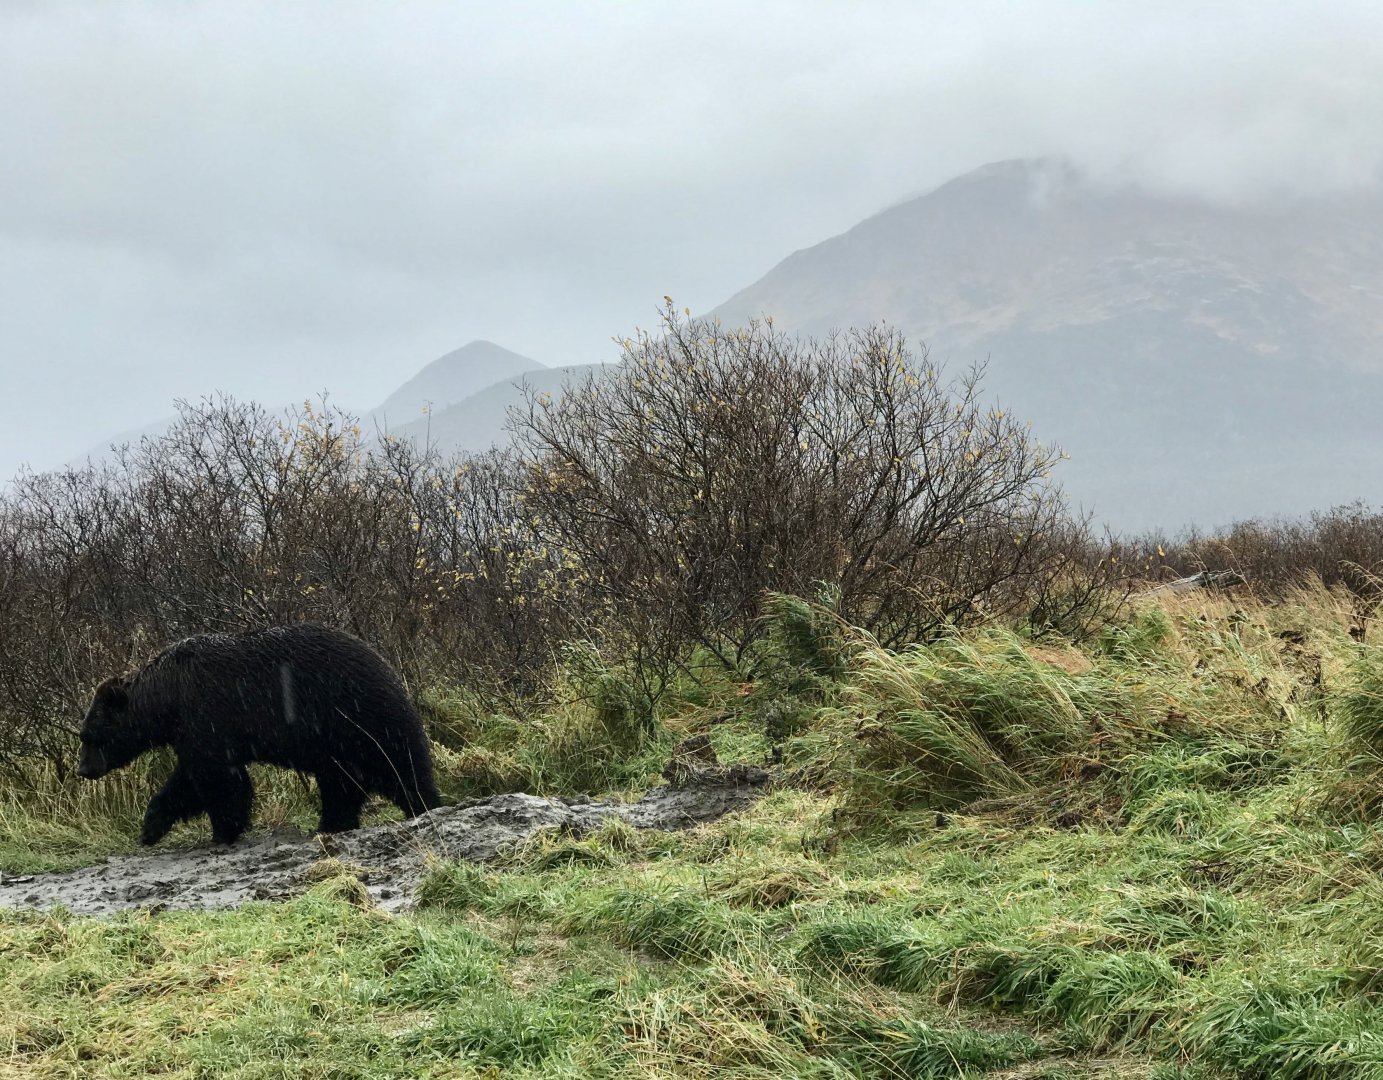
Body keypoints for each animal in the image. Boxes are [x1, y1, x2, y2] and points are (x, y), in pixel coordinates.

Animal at [76, 623, 444, 846]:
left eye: (89, 736)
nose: (83, 769)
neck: (169, 697)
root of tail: (390, 670)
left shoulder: (208, 715)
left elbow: (220, 779)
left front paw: (223, 830)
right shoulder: (191, 733)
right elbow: (188, 780)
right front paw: (151, 827)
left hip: (361, 719)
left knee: (401, 766)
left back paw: (424, 805)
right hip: (338, 745)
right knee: (341, 785)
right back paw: (332, 824)